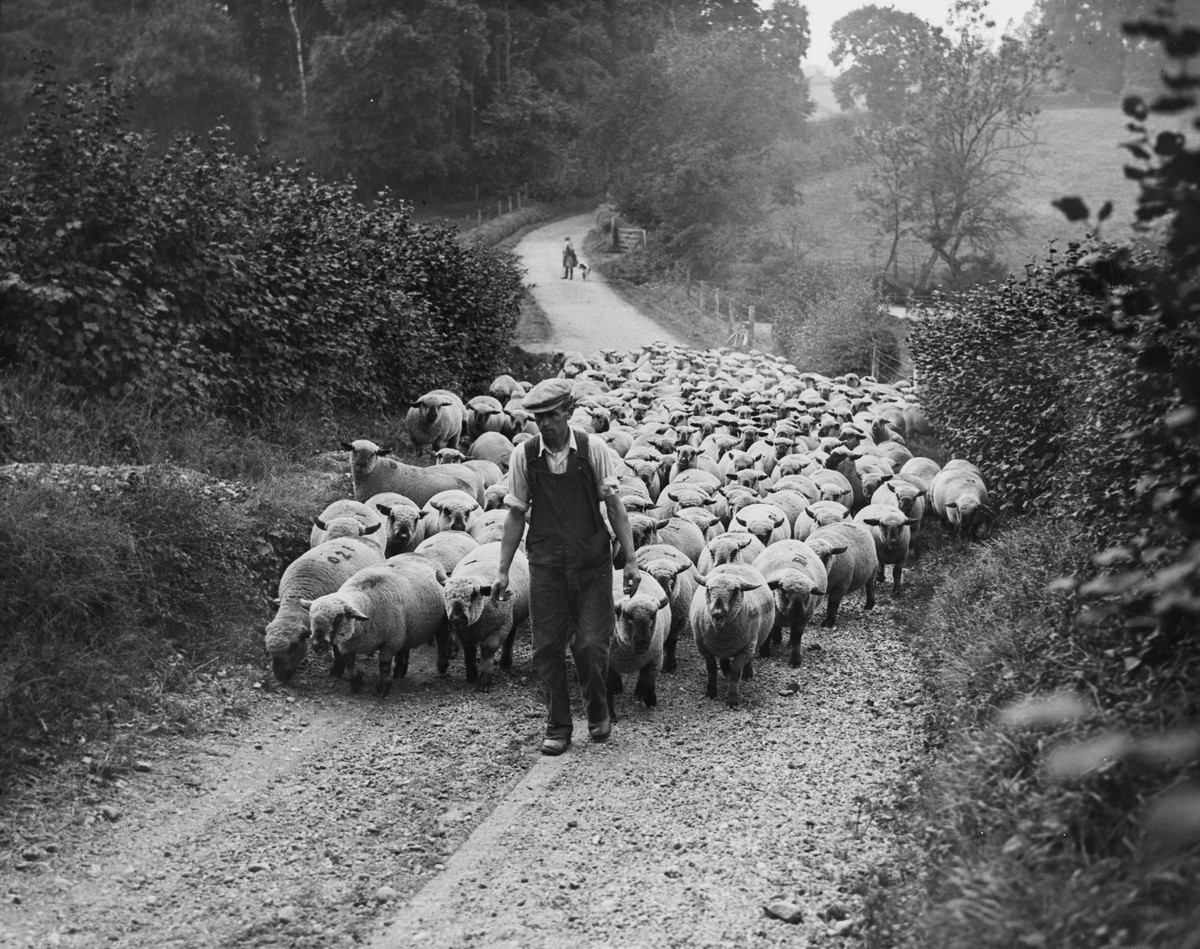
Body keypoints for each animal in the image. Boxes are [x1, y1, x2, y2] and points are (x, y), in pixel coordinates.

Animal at [300, 556, 451, 695]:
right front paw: (356, 684)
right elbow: (349, 663)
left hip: (439, 623)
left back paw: (441, 667)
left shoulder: (390, 642)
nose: (318, 645)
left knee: (442, 641)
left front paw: (383, 689)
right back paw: (399, 671)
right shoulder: (346, 645)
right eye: (311, 617)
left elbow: (384, 666)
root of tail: (424, 557)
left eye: (338, 618)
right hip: (407, 628)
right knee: (404, 648)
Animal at [441, 542, 530, 691]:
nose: (456, 619)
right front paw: (471, 676)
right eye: (445, 595)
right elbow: (469, 651)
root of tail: (496, 542)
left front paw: (484, 680)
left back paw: (505, 662)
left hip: (513, 617)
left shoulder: (500, 628)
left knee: (511, 636)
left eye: (473, 594)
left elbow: (488, 650)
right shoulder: (464, 633)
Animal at [604, 575, 672, 724]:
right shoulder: (607, 665)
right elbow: (607, 691)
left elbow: (648, 682)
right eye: (627, 615)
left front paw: (650, 701)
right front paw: (611, 715)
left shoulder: (654, 660)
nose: (642, 642)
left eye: (653, 615)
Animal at [686, 563, 777, 705]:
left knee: (748, 658)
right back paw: (725, 667)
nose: (717, 614)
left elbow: (735, 672)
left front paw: (732, 698)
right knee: (724, 657)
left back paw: (747, 673)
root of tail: (734, 563)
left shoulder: (746, 648)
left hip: (753, 641)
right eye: (708, 589)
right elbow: (711, 669)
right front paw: (711, 691)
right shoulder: (702, 647)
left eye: (735, 591)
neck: (721, 633)